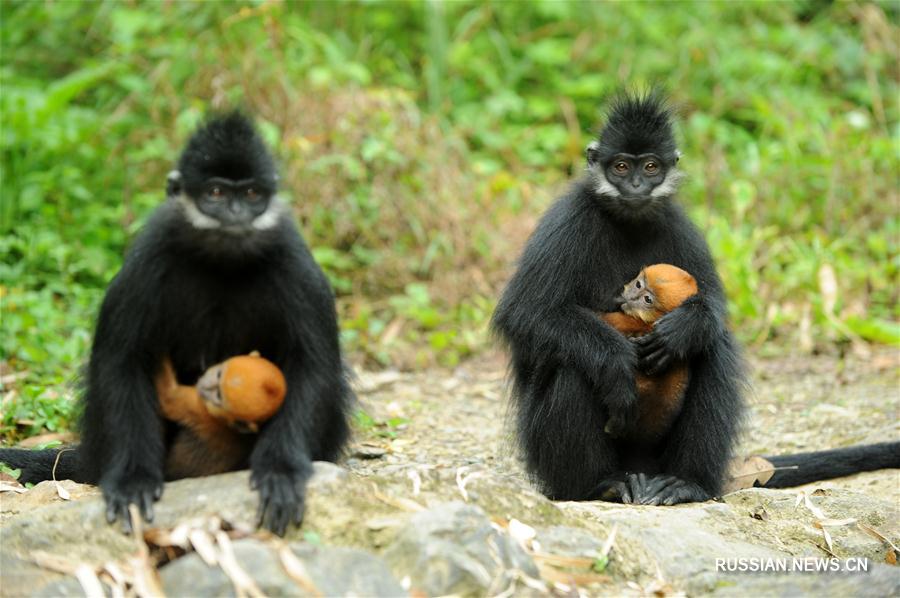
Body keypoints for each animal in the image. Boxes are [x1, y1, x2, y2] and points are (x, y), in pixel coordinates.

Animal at [155, 356, 286, 478]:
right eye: (219, 374)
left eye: (219, 395)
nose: (204, 386)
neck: (224, 422)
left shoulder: (199, 408)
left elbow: (168, 397)